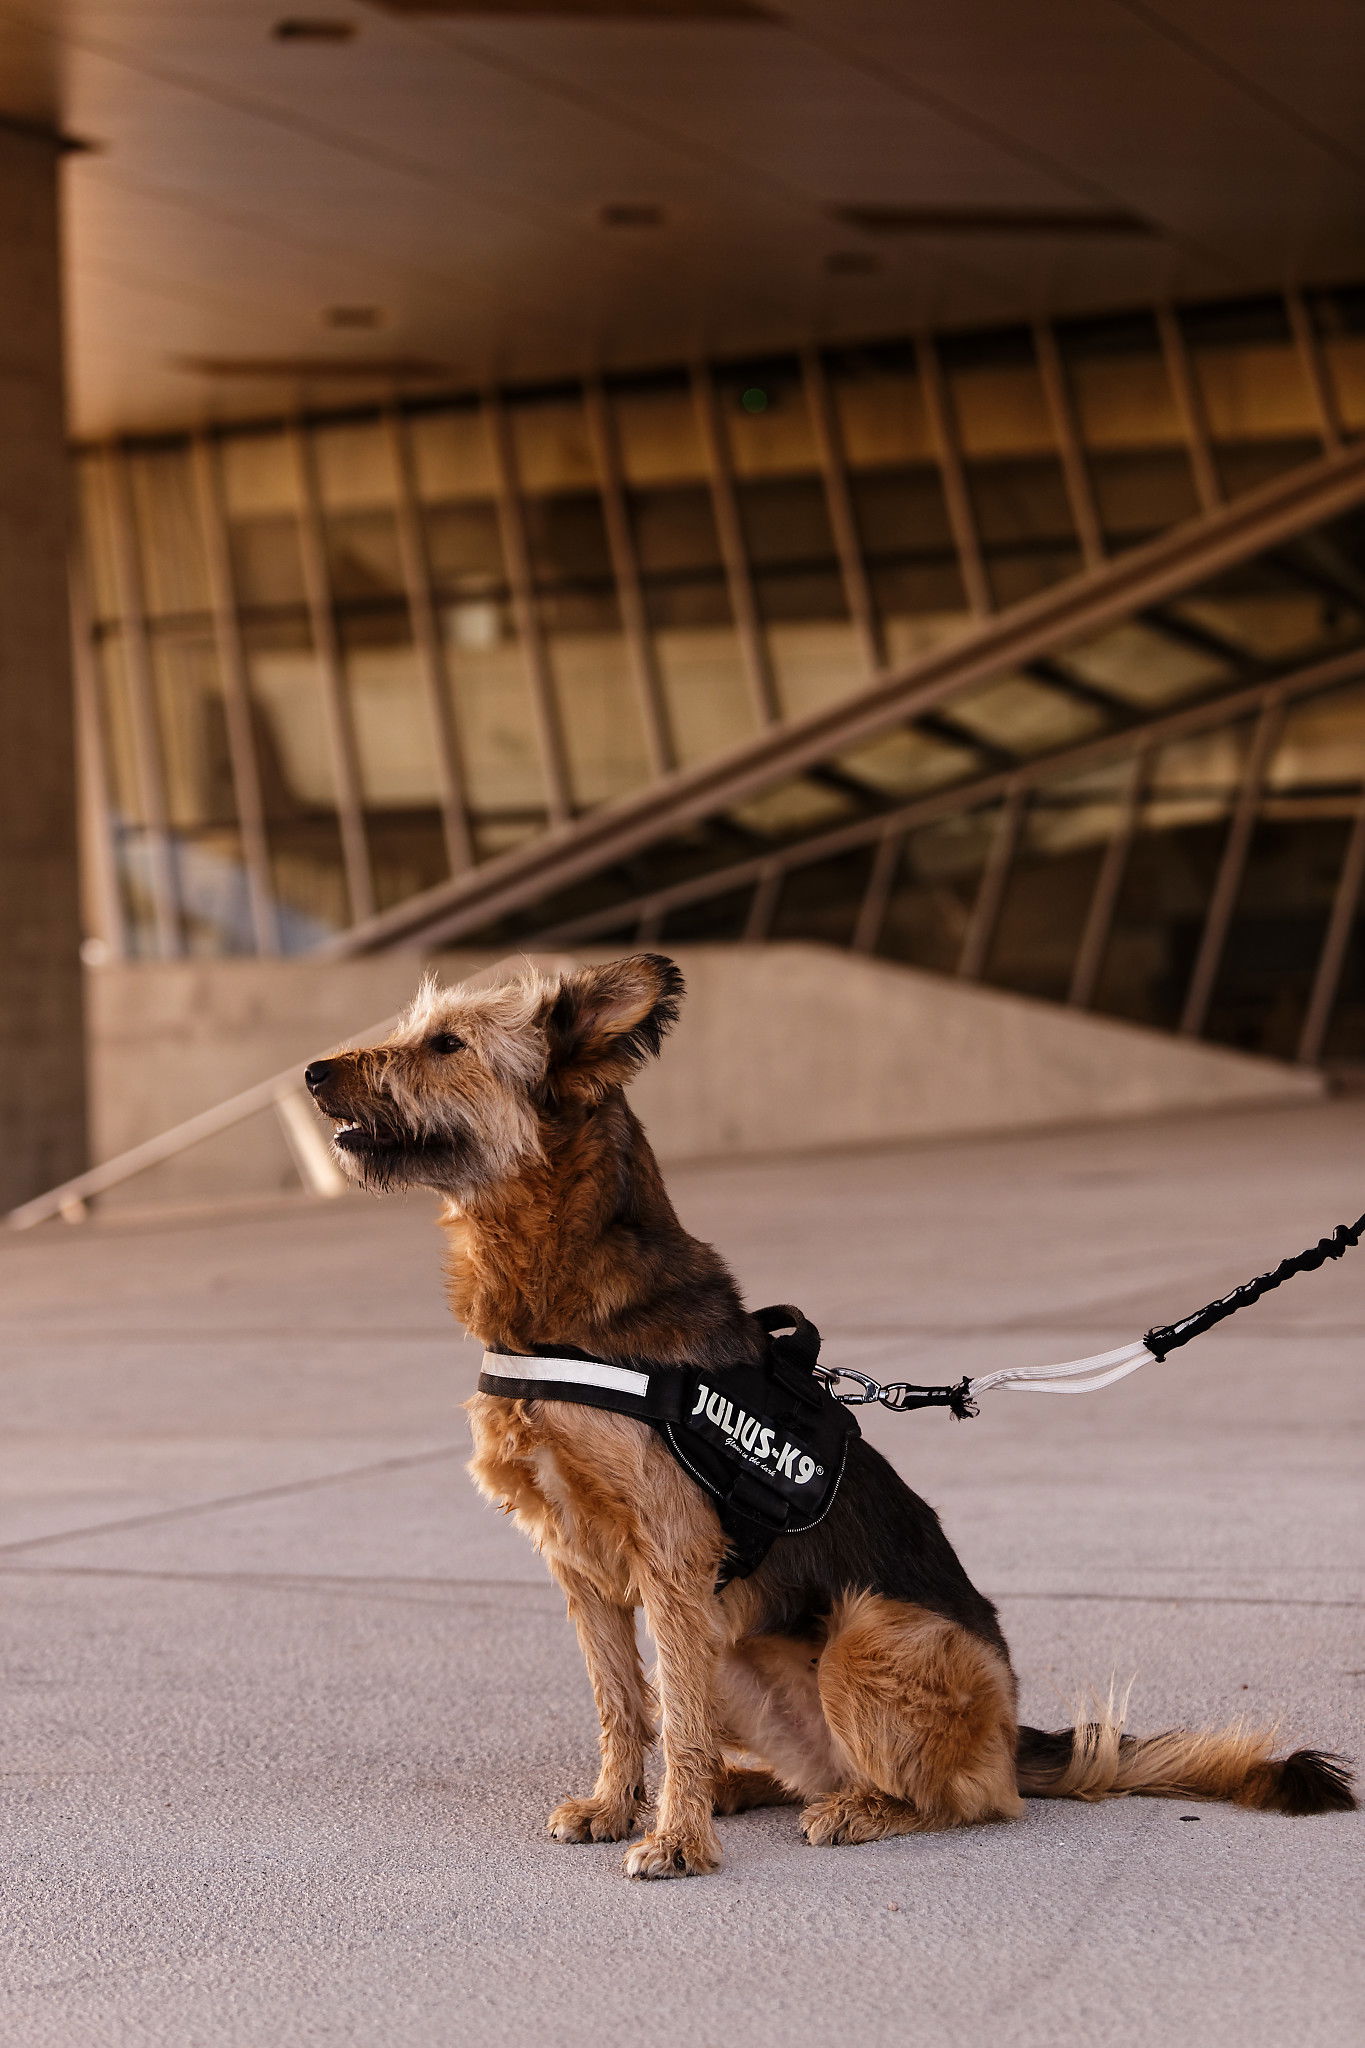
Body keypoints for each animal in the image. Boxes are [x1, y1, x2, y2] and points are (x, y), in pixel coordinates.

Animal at [304, 952, 1355, 1878]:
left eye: (445, 1044)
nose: (313, 1072)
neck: (558, 1298)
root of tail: (1013, 1734)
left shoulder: (671, 1557)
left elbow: (668, 1717)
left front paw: (675, 1842)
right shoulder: (582, 1565)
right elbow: (627, 1705)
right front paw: (617, 1805)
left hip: (870, 1632)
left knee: (971, 1799)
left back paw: (854, 1808)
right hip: (739, 1647)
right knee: (772, 1747)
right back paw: (748, 1787)